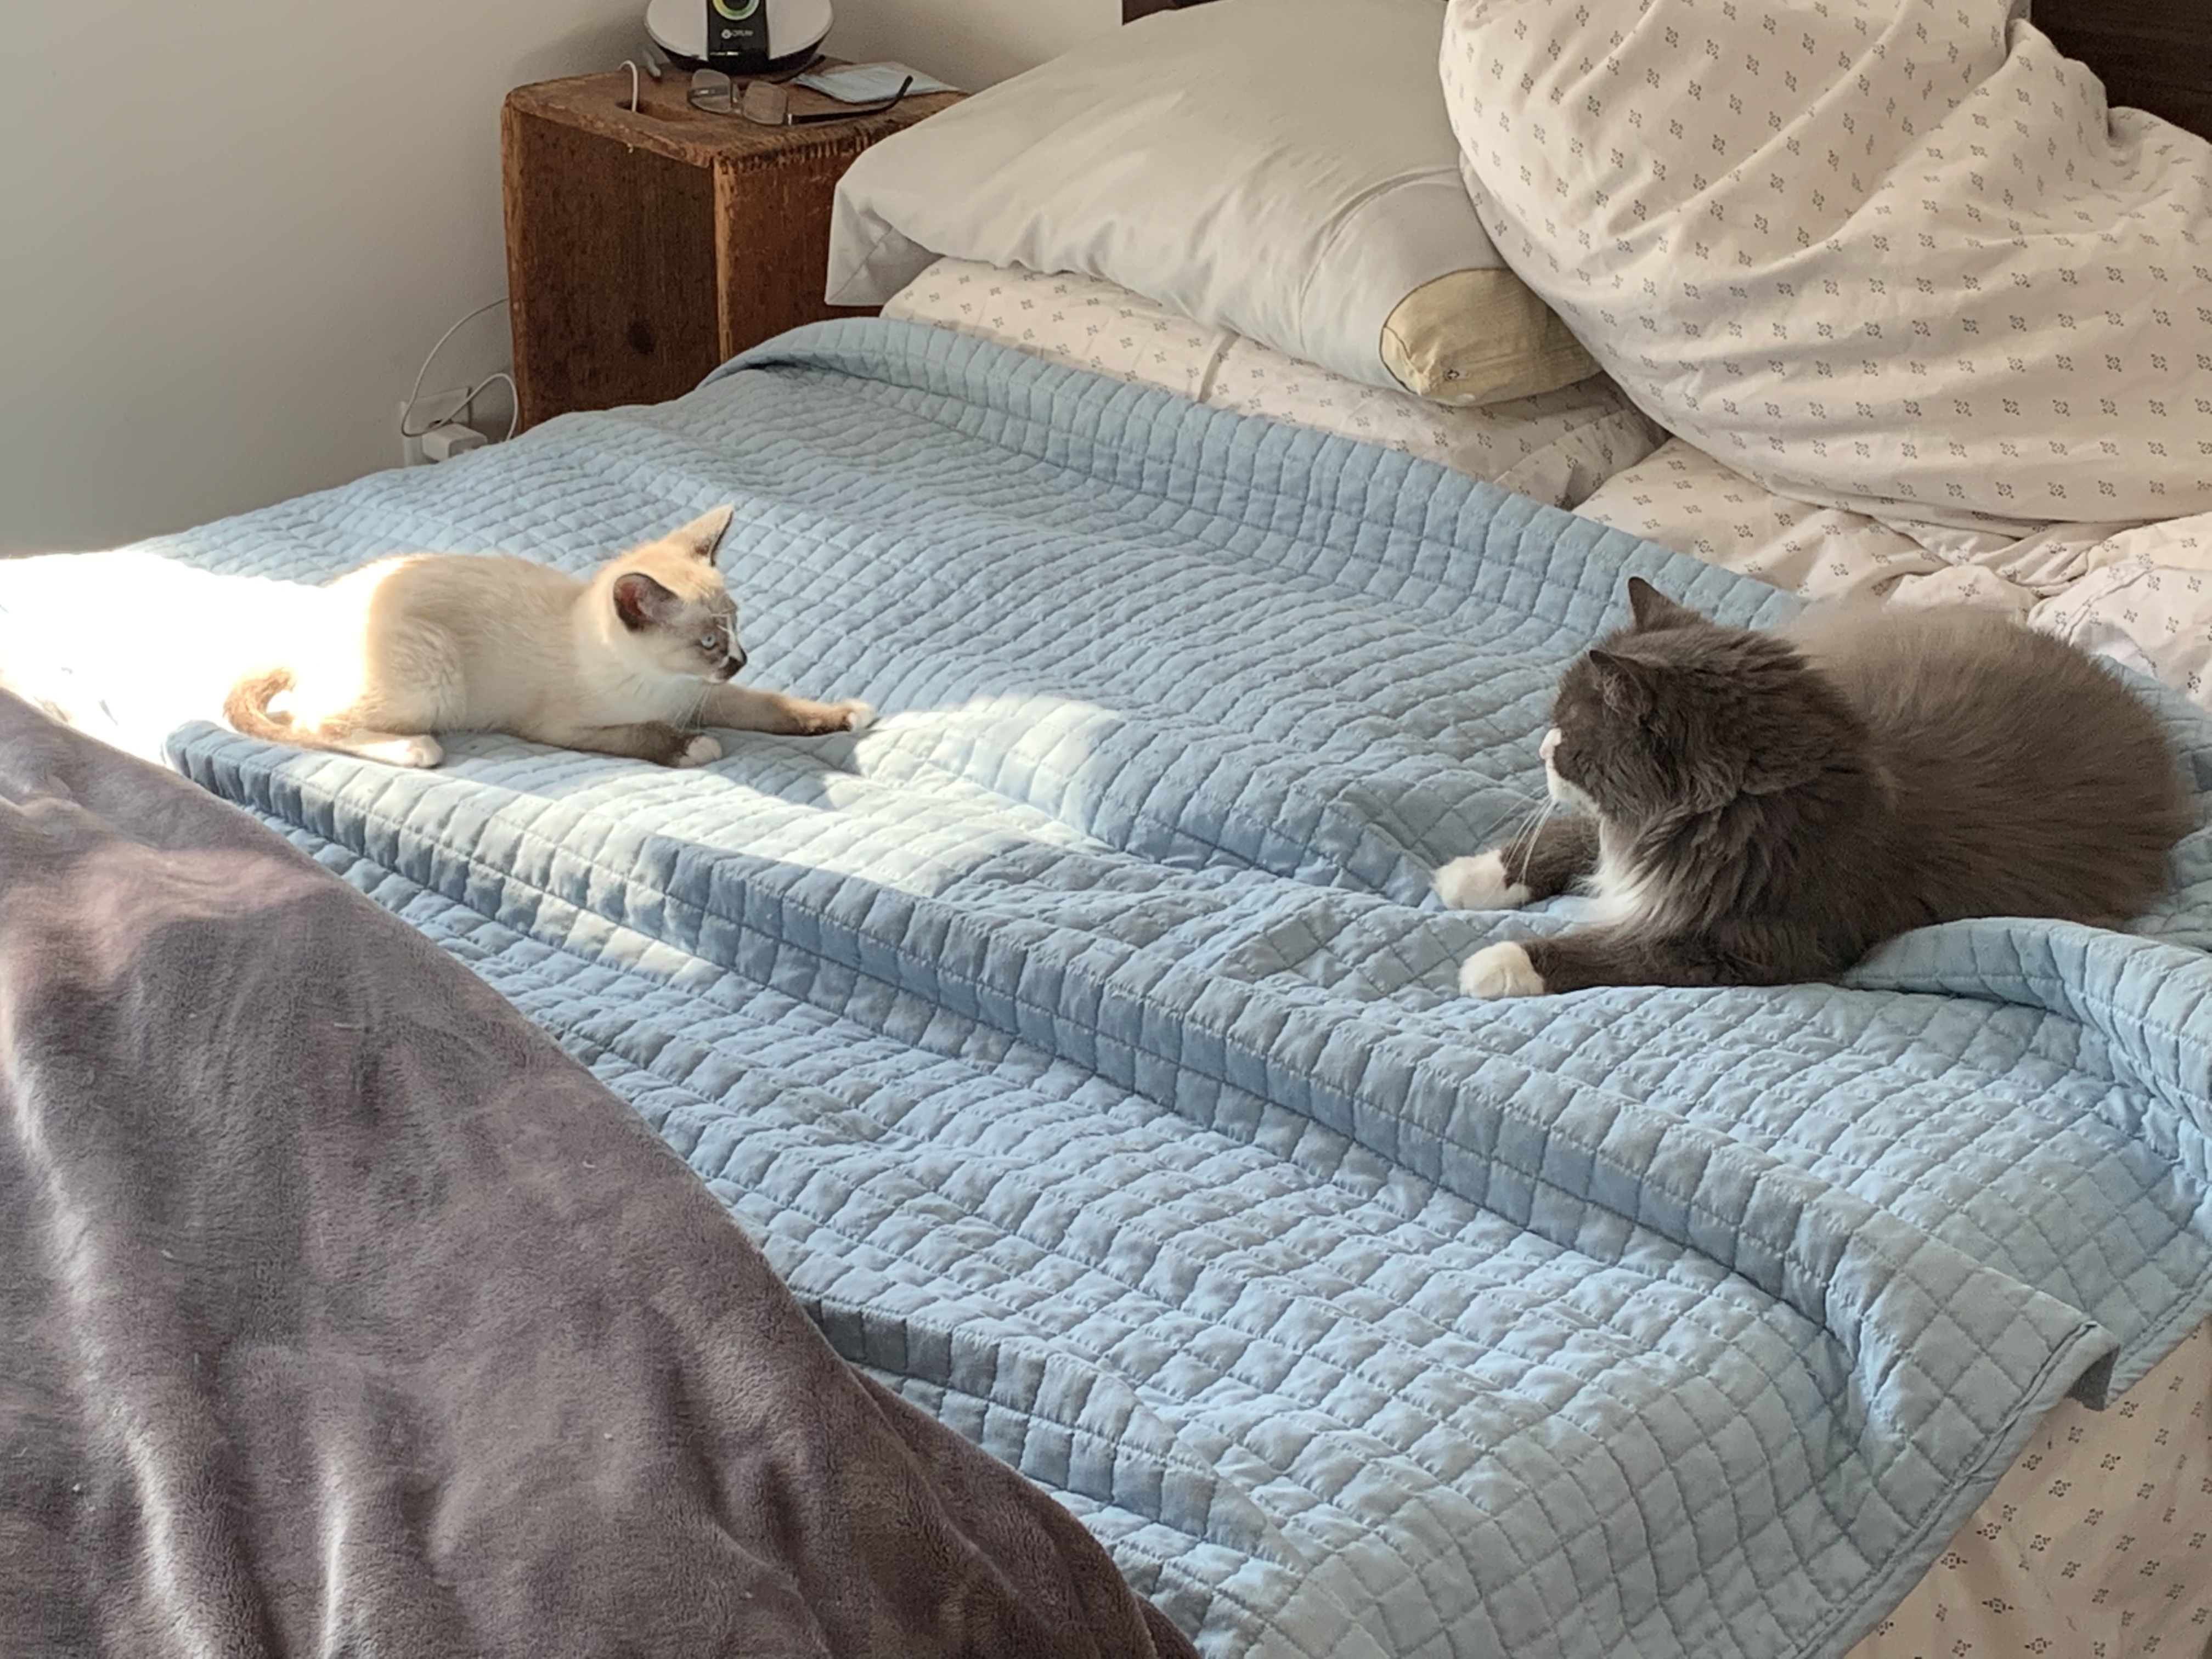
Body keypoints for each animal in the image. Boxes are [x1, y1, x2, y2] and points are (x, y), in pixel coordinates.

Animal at [224, 506, 871, 769]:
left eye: (735, 625)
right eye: (709, 642)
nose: (742, 657)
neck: (666, 687)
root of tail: (304, 633)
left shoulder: (706, 695)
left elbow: (774, 707)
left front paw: (847, 715)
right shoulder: (560, 729)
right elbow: (643, 734)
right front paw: (693, 748)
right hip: (436, 672)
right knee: (312, 723)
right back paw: (415, 750)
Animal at [1435, 576, 2191, 998]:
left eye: (1567, 730)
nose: (1541, 748)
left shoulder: (1752, 942)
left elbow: (1620, 948)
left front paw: (1498, 964)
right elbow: (1568, 837)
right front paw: (1473, 876)